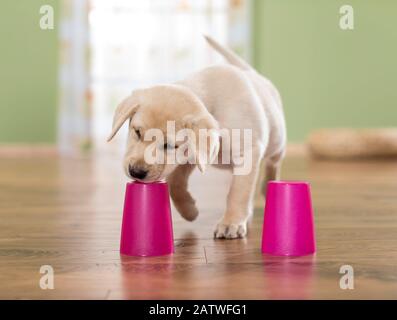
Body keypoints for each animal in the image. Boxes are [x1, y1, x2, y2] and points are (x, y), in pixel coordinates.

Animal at [108, 36, 286, 239]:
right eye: (137, 132)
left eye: (169, 145)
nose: (136, 172)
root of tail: (253, 73)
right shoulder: (190, 156)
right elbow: (175, 184)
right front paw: (189, 210)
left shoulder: (248, 153)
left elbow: (238, 192)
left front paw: (230, 222)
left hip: (277, 141)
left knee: (273, 162)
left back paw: (266, 186)